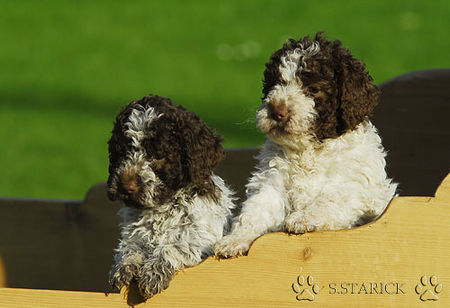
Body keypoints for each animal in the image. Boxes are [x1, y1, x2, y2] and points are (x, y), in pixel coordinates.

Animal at [107, 94, 236, 298]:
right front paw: (124, 265)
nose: (126, 187)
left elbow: (173, 246)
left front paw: (153, 273)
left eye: (159, 155)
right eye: (122, 153)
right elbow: (130, 247)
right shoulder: (133, 235)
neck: (162, 207)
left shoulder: (201, 240)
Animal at [214, 32, 398, 258]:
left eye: (313, 89)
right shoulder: (271, 184)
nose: (276, 112)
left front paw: (302, 219)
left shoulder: (355, 188)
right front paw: (234, 239)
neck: (310, 151)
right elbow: (255, 211)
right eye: (274, 84)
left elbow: (331, 199)